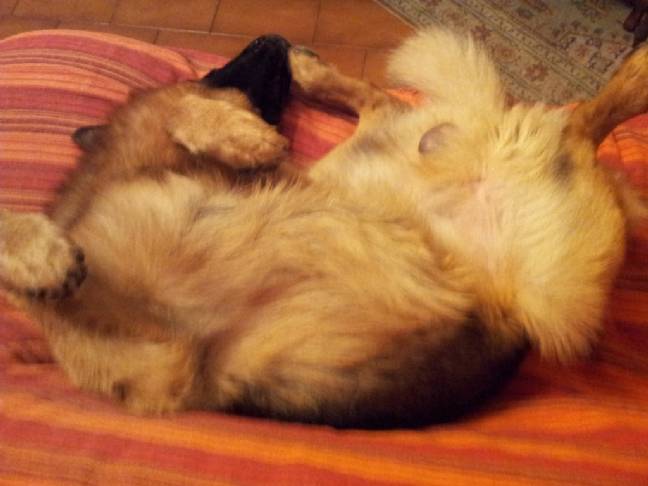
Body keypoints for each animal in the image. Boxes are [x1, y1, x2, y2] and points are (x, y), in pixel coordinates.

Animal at [0, 30, 645, 428]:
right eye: (215, 67)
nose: (272, 37)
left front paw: (240, 135)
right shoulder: (153, 363)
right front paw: (38, 254)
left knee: (576, 120)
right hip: (547, 283)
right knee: (579, 123)